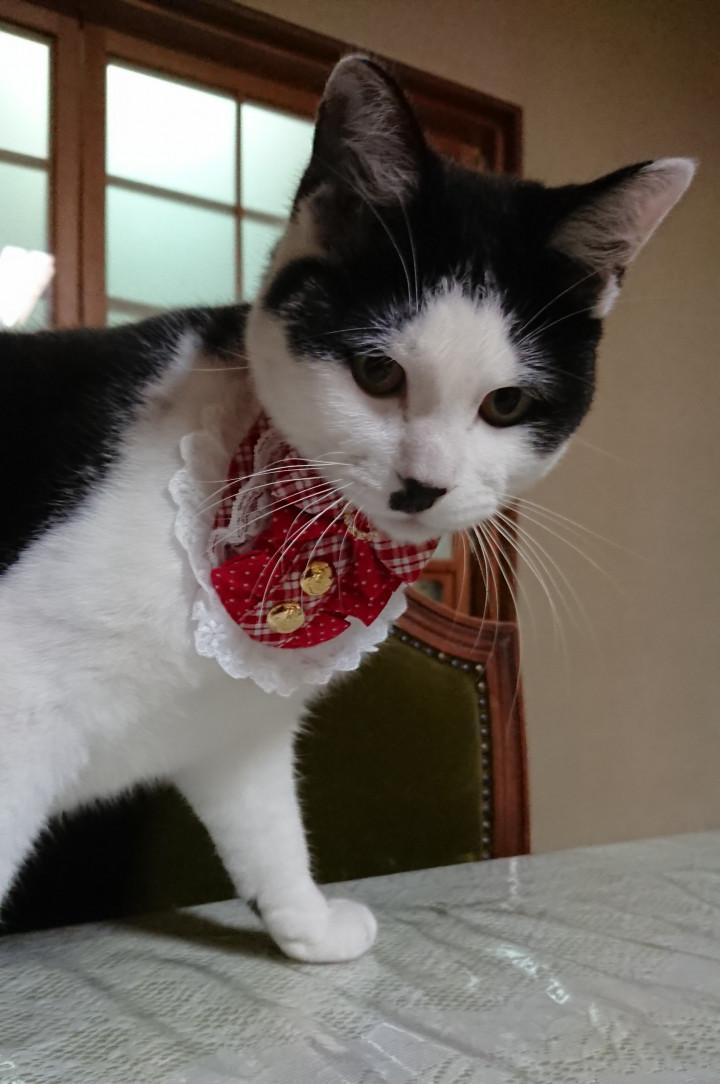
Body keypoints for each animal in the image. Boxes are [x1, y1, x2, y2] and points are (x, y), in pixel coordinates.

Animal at [0, 54, 693, 961]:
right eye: (377, 373)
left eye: (506, 405)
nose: (423, 484)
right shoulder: (18, 708)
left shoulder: (234, 728)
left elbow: (268, 830)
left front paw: (306, 925)